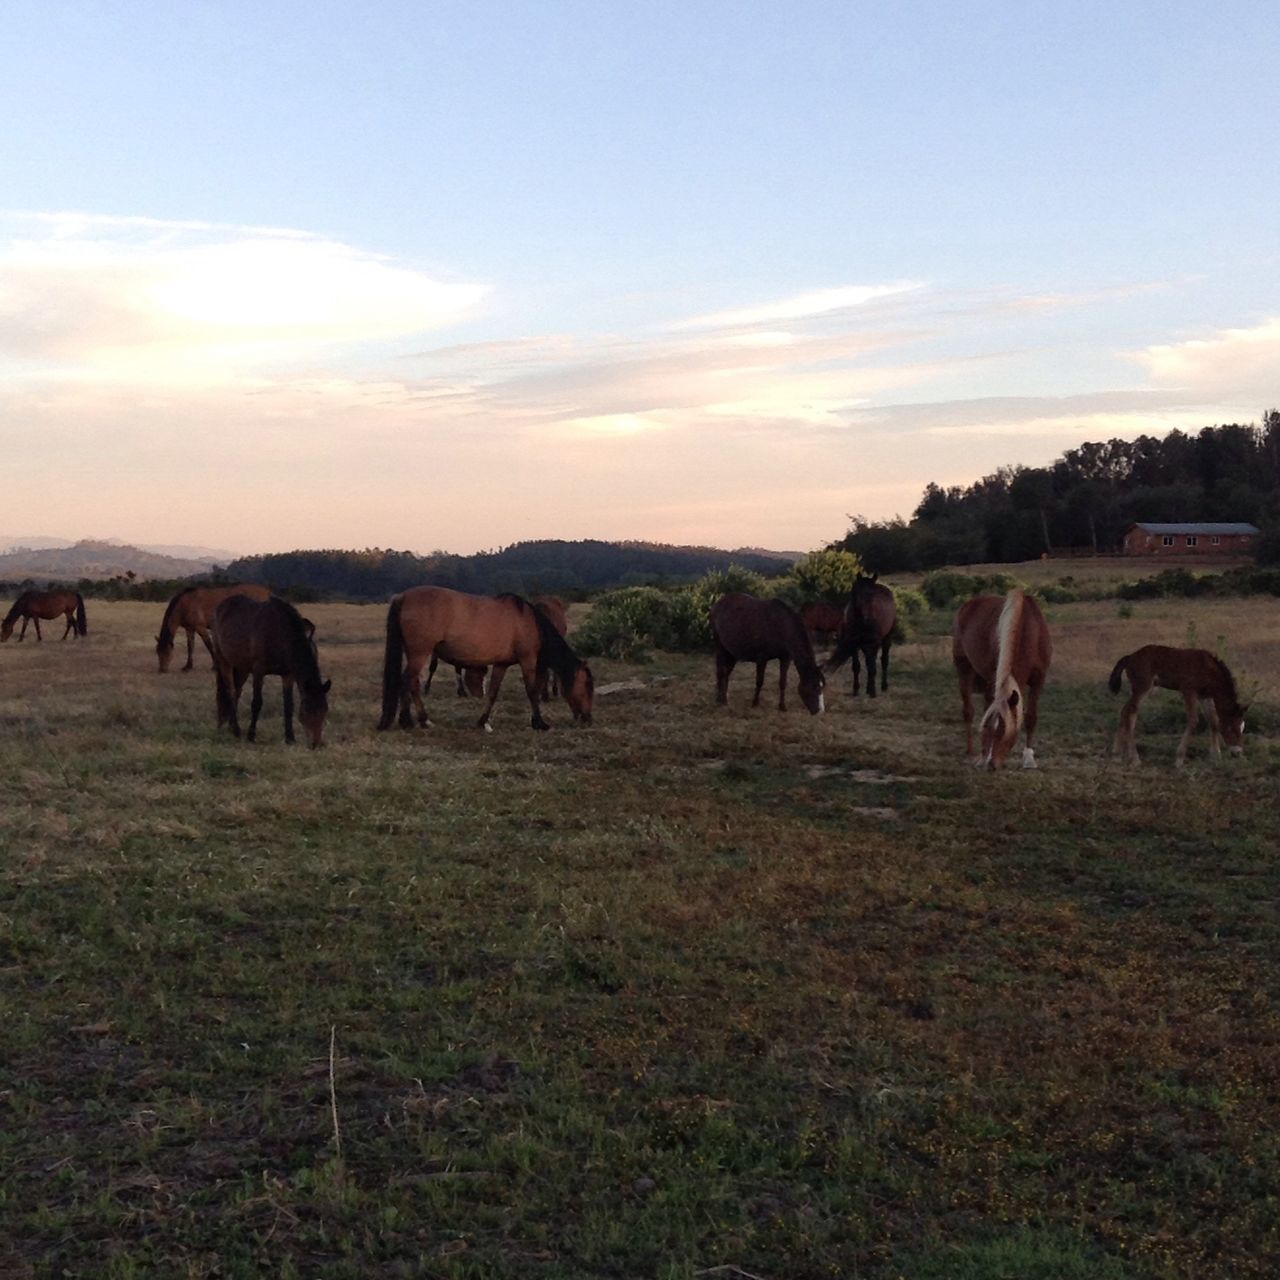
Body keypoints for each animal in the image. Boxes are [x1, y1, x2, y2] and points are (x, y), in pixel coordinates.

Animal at [212, 591, 330, 747]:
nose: (315, 744)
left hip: (242, 668)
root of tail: (220, 607)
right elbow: (257, 703)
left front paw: (290, 738)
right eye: (306, 709)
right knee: (230, 691)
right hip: (224, 661)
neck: (279, 634)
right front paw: (251, 735)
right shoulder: (258, 671)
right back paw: (236, 730)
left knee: (236, 691)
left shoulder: (288, 675)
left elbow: (288, 706)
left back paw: (231, 726)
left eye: (325, 710)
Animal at [373, 586, 593, 732]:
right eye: (586, 686)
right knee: (409, 681)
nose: (588, 718)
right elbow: (532, 691)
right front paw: (539, 723)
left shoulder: (502, 664)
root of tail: (403, 596)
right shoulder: (528, 660)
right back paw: (418, 720)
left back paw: (407, 720)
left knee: (407, 681)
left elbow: (493, 692)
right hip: (420, 652)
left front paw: (483, 721)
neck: (530, 623)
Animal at [952, 588, 1049, 768]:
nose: (991, 763)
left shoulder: (1039, 679)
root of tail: (967, 605)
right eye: (988, 729)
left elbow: (1031, 717)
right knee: (968, 710)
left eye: (1005, 731)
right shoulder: (994, 676)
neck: (1029, 630)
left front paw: (1029, 759)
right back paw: (971, 751)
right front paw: (983, 756)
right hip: (964, 669)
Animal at [1105, 645, 1244, 762]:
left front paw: (1216, 755)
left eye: (1242, 728)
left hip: (1148, 689)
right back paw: (1134, 758)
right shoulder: (1189, 691)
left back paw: (1116, 754)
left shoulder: (1205, 697)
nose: (1237, 752)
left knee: (1126, 710)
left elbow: (1214, 721)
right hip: (1142, 688)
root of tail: (1130, 657)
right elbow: (1193, 720)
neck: (1209, 669)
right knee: (1130, 712)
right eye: (1230, 728)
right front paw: (1179, 759)